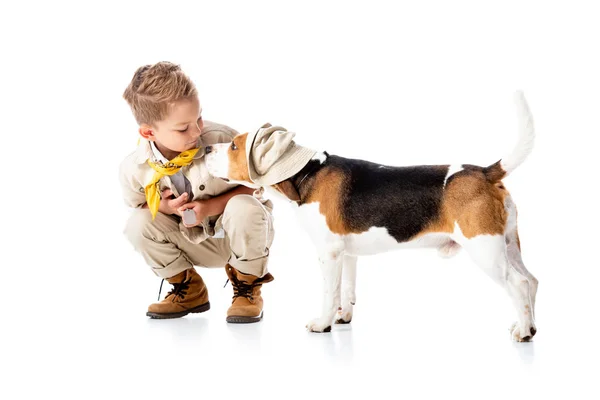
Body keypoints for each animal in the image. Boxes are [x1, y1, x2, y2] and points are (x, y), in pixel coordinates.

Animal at [204, 93, 536, 340]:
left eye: (234, 145)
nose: (206, 148)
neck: (307, 172)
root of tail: (485, 171)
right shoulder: (347, 254)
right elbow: (347, 290)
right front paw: (343, 318)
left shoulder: (329, 254)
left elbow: (330, 292)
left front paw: (322, 323)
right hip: (509, 245)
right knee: (531, 281)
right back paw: (528, 326)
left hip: (485, 251)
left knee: (519, 284)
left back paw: (522, 333)